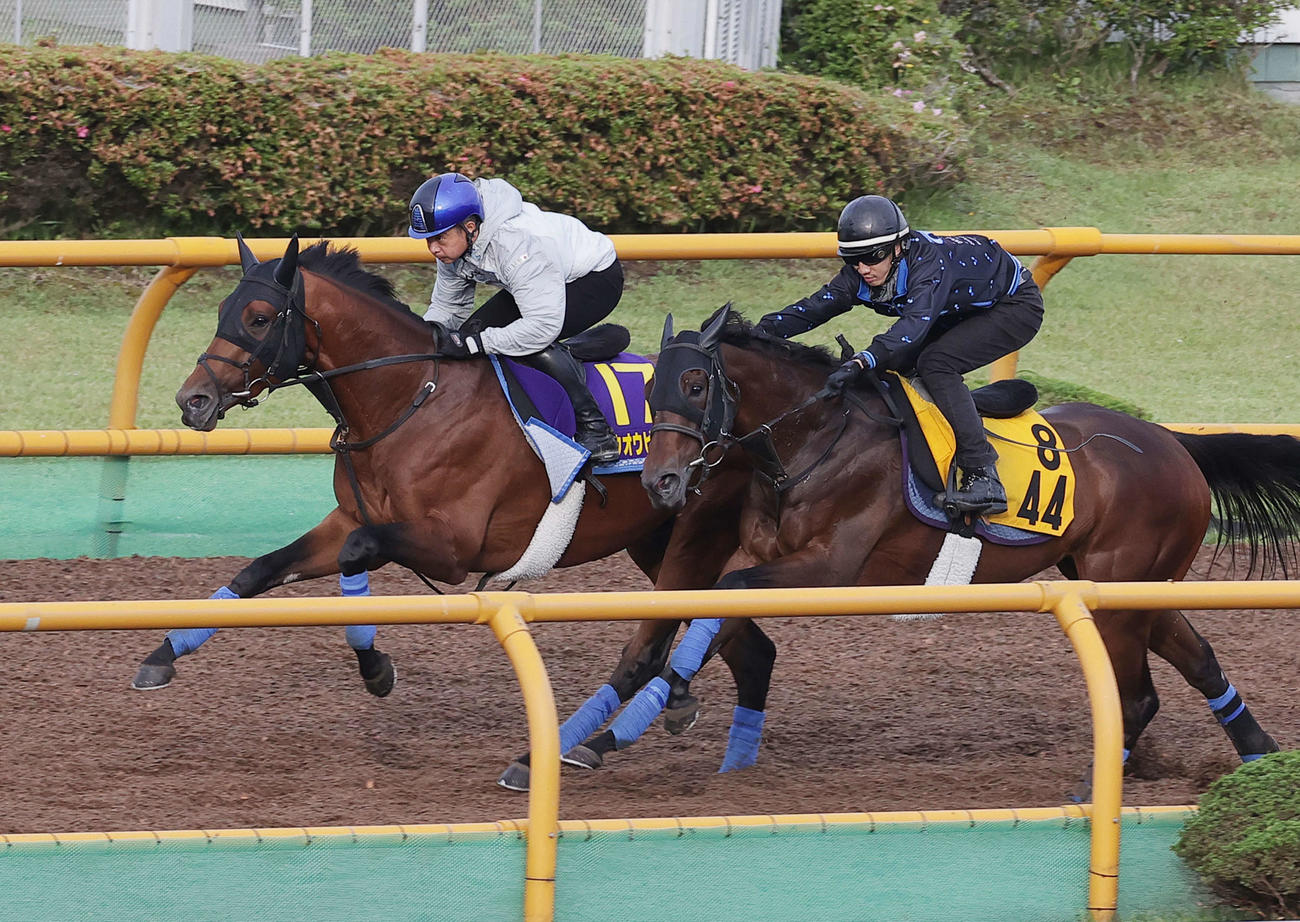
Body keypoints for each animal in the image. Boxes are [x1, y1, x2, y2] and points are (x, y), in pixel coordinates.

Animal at [128, 236, 772, 790]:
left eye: (260, 318)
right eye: (223, 312)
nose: (193, 400)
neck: (414, 396)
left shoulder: (454, 548)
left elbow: (356, 554)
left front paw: (377, 671)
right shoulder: (349, 518)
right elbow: (259, 569)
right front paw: (163, 655)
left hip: (693, 538)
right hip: (655, 541)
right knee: (747, 647)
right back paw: (718, 747)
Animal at [566, 304, 1297, 788]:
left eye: (695, 386)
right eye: (650, 387)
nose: (660, 482)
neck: (816, 437)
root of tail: (1176, 443)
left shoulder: (828, 569)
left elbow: (720, 599)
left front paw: (645, 714)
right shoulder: (764, 558)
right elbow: (713, 614)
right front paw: (617, 730)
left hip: (1119, 592)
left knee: (1136, 694)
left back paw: (1100, 787)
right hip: (1132, 584)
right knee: (1197, 659)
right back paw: (1259, 755)